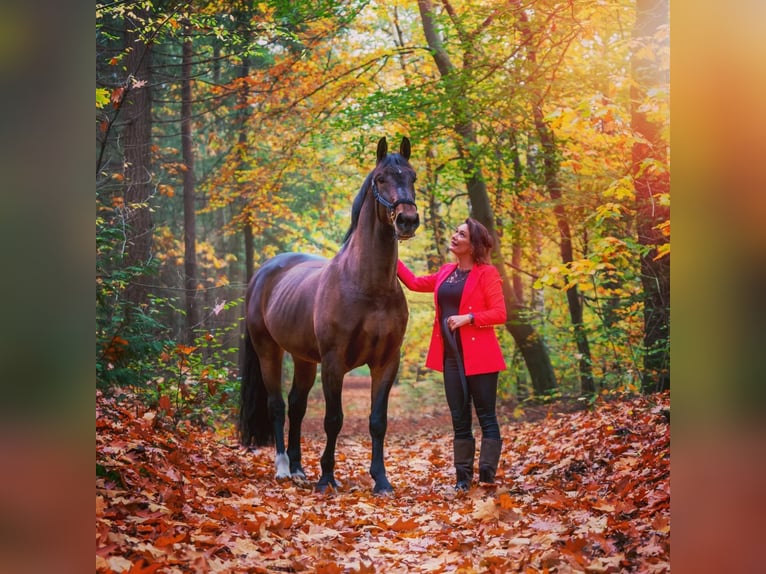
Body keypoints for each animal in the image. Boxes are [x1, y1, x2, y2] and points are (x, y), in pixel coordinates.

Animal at [238, 136, 420, 496]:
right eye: (381, 179)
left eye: (413, 177)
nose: (407, 220)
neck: (368, 287)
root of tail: (263, 273)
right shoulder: (334, 362)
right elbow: (333, 419)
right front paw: (327, 478)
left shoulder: (387, 362)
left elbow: (378, 422)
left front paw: (381, 480)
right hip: (269, 351)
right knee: (277, 405)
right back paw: (283, 468)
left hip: (304, 359)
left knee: (296, 404)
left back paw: (298, 468)